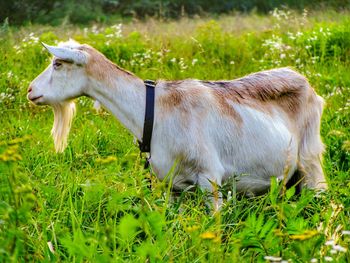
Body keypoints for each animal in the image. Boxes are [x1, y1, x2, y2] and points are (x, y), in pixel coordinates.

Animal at [28, 40, 326, 210]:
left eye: (57, 63)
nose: (30, 90)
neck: (154, 111)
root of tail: (308, 85)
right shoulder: (170, 185)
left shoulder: (210, 177)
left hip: (310, 161)